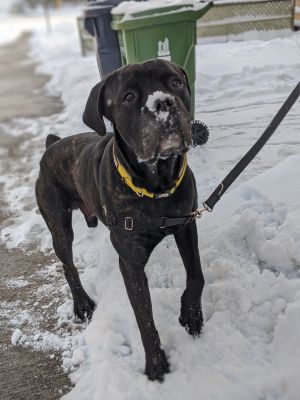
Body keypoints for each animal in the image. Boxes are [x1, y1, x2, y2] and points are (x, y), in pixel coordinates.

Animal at [35, 59, 204, 382]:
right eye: (128, 97)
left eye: (175, 82)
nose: (163, 102)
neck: (157, 185)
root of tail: (51, 146)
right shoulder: (131, 262)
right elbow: (144, 317)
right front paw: (156, 366)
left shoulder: (187, 225)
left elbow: (197, 275)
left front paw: (191, 314)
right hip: (58, 225)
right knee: (67, 265)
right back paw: (82, 304)